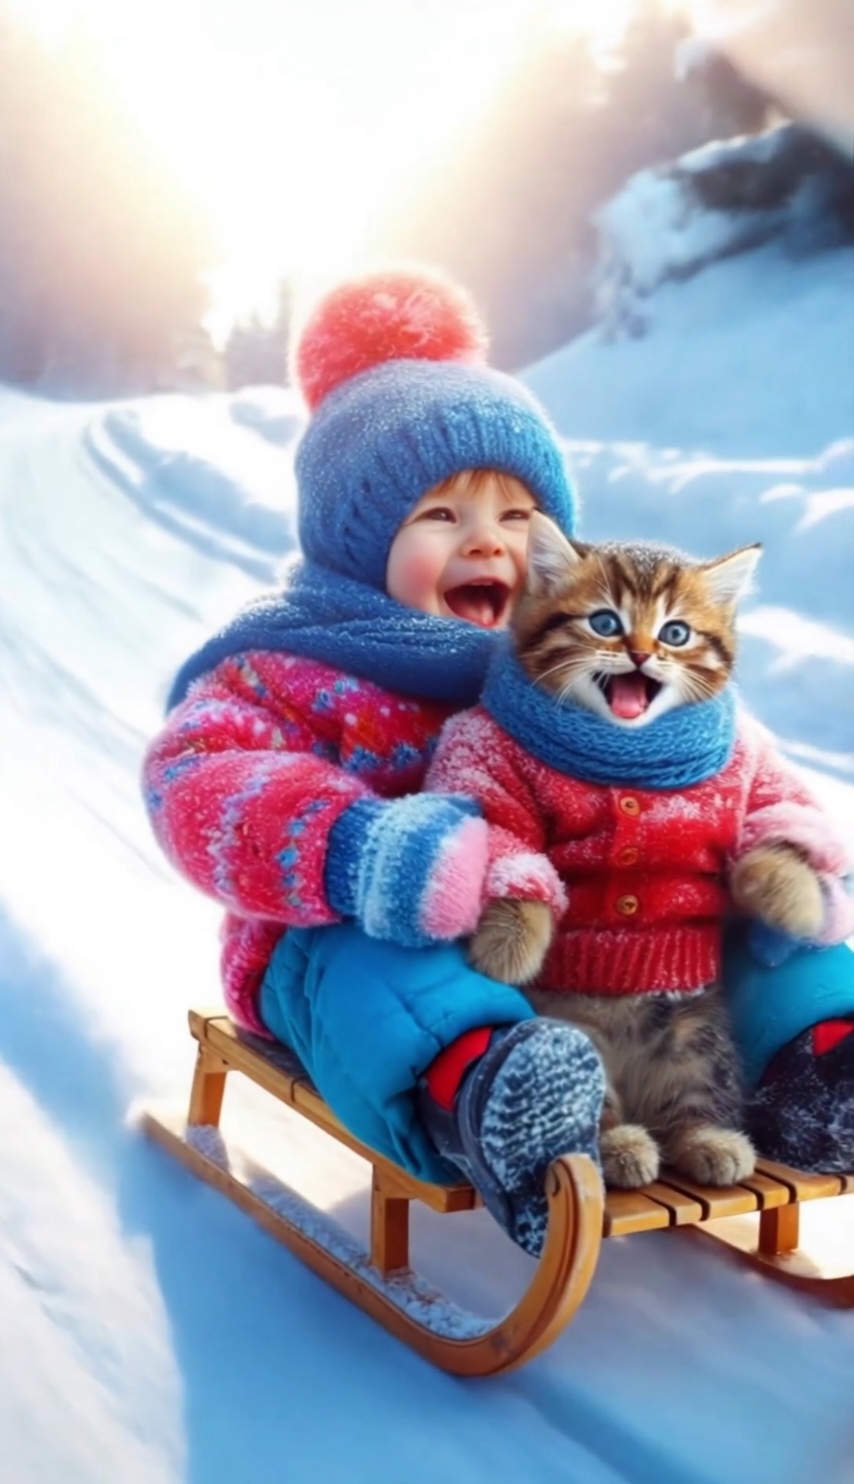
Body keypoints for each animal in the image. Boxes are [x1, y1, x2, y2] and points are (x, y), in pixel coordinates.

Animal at [472, 516, 825, 1187]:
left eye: (675, 633)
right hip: (577, 1036)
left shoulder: (744, 781)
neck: (625, 748)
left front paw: (796, 901)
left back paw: (710, 1139)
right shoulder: (493, 767)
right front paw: (506, 943)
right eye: (604, 622)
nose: (641, 653)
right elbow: (508, 839)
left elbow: (771, 823)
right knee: (593, 1107)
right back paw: (620, 1146)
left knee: (695, 1095)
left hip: (698, 1033)